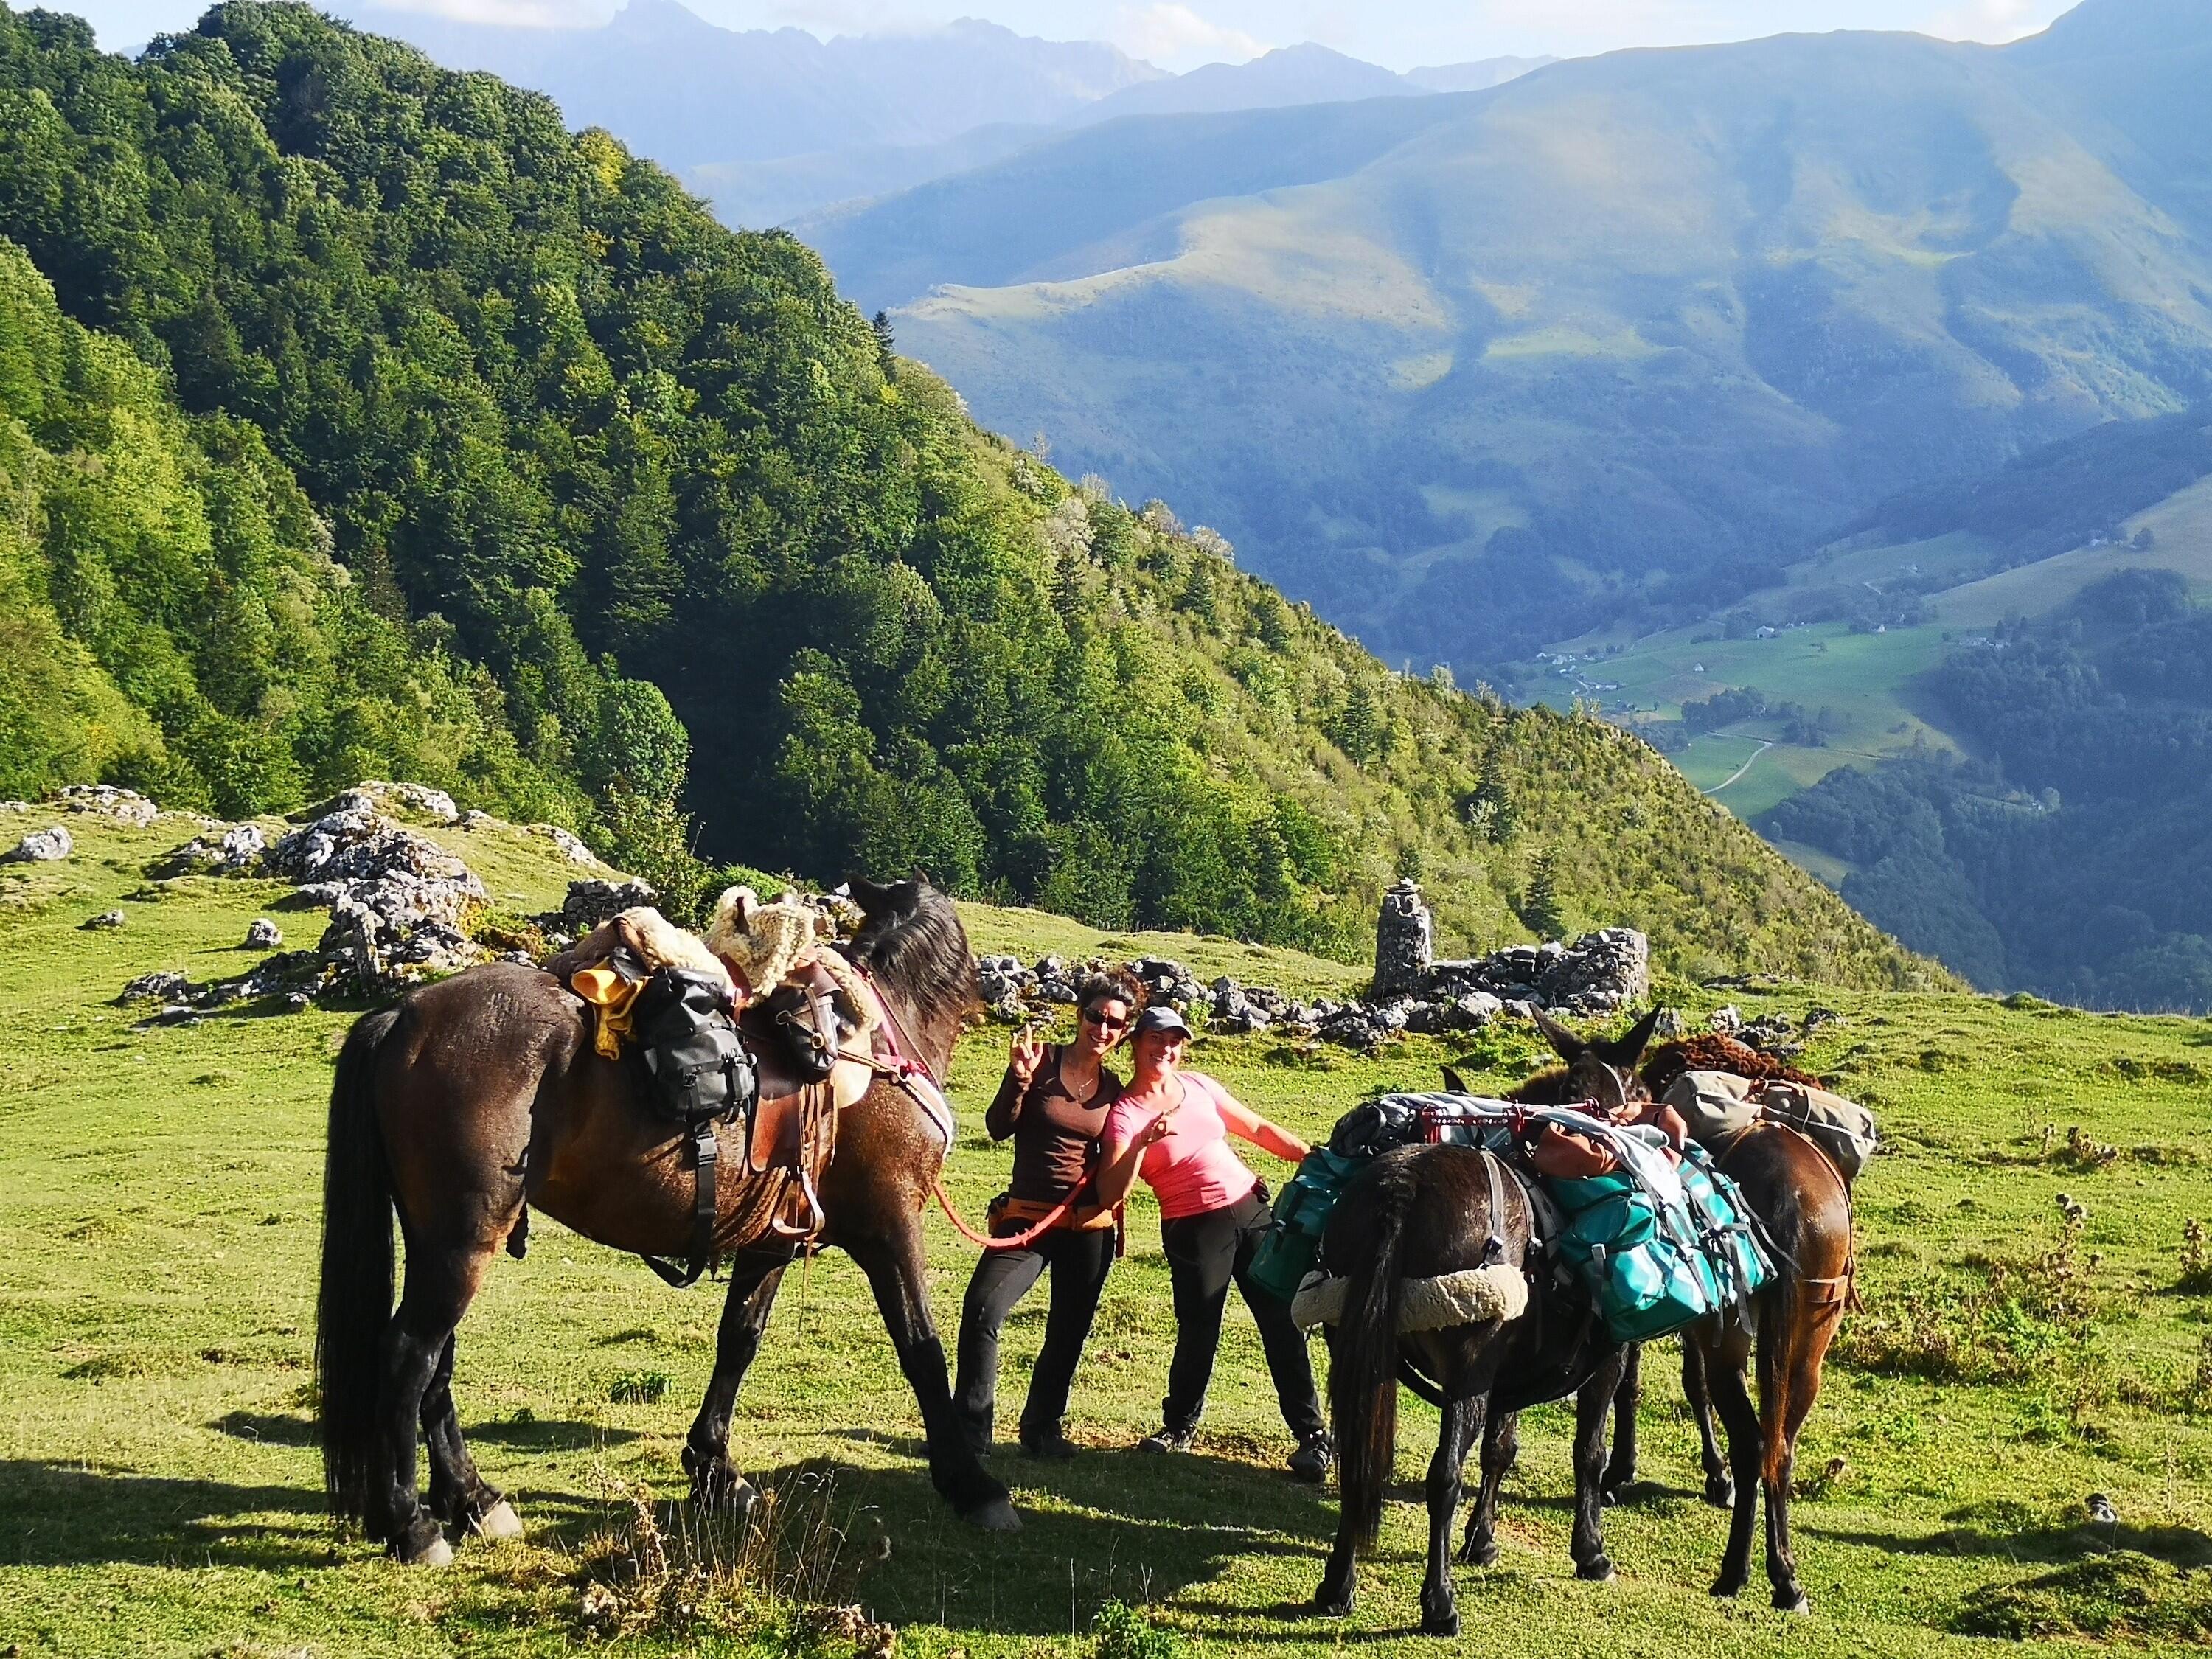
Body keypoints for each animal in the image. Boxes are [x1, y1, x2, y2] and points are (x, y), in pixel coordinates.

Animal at [314, 876, 1017, 1566]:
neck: (880, 1037)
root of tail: (404, 1013)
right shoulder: (890, 1227)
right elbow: (921, 1348)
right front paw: (971, 1486)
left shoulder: (771, 1240)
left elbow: (739, 1339)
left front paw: (716, 1470)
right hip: (462, 1242)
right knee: (409, 1355)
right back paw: (412, 1526)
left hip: (444, 1240)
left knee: (436, 1366)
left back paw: (473, 1500)